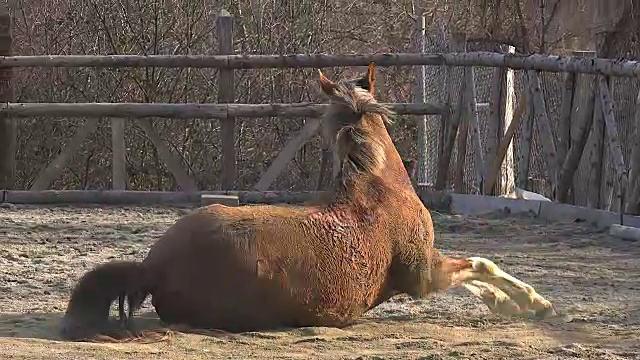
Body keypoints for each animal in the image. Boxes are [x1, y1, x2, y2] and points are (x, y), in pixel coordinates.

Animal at [60, 63, 556, 342]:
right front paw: (531, 303)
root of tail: (154, 266)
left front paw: (515, 303)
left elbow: (477, 272)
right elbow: (481, 265)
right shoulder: (422, 274)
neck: (378, 187)